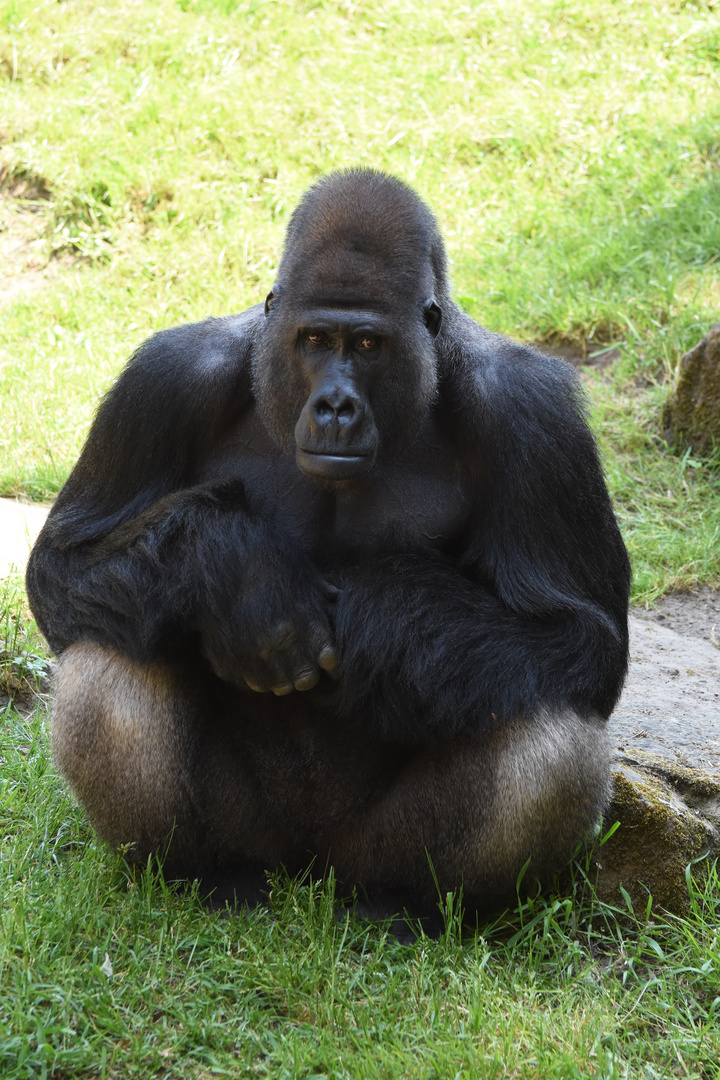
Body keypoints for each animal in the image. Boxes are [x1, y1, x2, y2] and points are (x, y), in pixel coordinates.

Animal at [25, 168, 626, 920]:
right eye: (314, 340)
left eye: (366, 346)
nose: (336, 406)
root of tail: (308, 873)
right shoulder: (165, 378)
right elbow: (64, 568)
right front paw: (238, 575)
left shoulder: (532, 411)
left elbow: (585, 637)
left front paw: (391, 622)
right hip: (259, 839)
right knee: (116, 639)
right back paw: (203, 874)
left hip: (363, 855)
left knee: (544, 717)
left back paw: (412, 904)